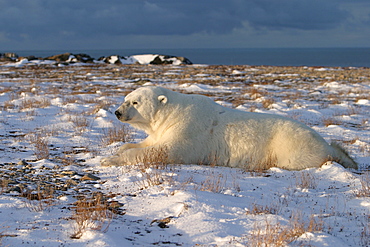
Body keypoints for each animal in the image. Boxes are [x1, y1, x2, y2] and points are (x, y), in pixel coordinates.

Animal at [99, 86, 356, 171]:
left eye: (135, 102)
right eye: (125, 98)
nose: (117, 112)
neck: (173, 113)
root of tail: (323, 143)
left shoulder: (188, 130)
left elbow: (165, 151)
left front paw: (109, 160)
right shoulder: (164, 129)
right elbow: (149, 142)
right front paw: (118, 150)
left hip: (291, 146)